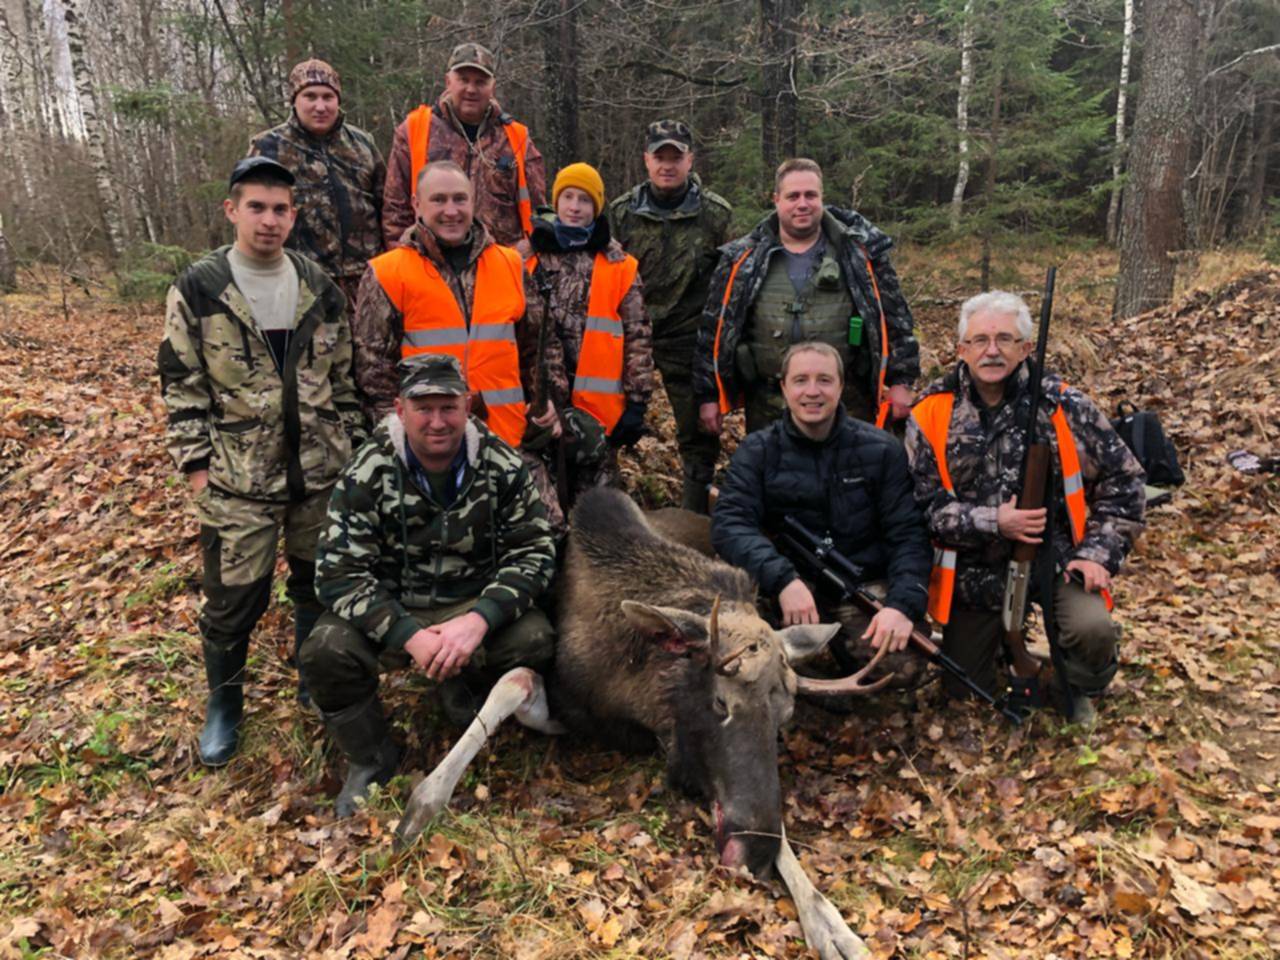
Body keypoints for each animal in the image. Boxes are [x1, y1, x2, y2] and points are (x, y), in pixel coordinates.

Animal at [394, 491, 885, 957]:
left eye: (783, 717)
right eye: (720, 702)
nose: (754, 854)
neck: (632, 686)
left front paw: (831, 923)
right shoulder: (572, 707)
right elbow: (512, 681)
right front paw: (420, 807)